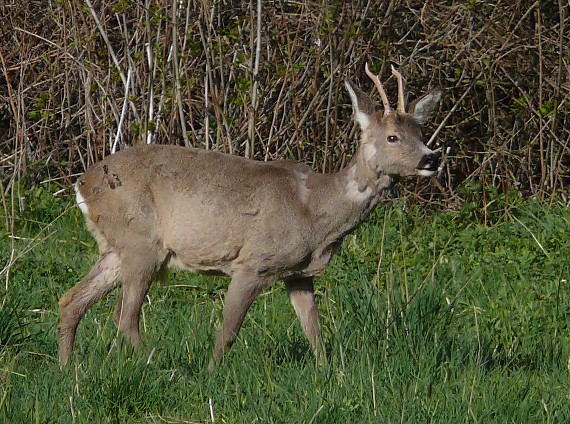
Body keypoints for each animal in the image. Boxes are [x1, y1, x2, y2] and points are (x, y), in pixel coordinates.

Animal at [58, 64, 440, 370]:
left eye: (421, 133)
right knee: (125, 316)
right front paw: (212, 374)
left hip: (116, 248)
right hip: (141, 243)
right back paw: (162, 367)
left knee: (72, 300)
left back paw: (67, 369)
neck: (316, 210)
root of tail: (82, 183)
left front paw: (330, 374)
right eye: (392, 137)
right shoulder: (253, 263)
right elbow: (228, 330)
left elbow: (314, 330)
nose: (431, 158)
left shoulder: (298, 273)